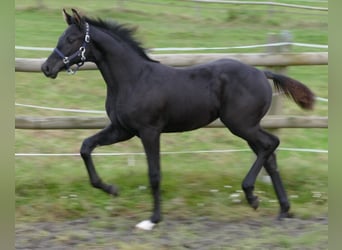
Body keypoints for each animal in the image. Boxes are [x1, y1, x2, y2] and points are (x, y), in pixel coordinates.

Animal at [41, 9, 314, 229]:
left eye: (72, 39)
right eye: (61, 38)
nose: (47, 68)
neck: (134, 78)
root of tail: (262, 72)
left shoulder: (149, 131)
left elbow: (154, 174)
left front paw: (153, 220)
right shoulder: (122, 129)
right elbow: (86, 146)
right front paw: (111, 189)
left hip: (241, 125)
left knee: (271, 144)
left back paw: (252, 195)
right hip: (247, 126)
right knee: (270, 156)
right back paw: (282, 210)